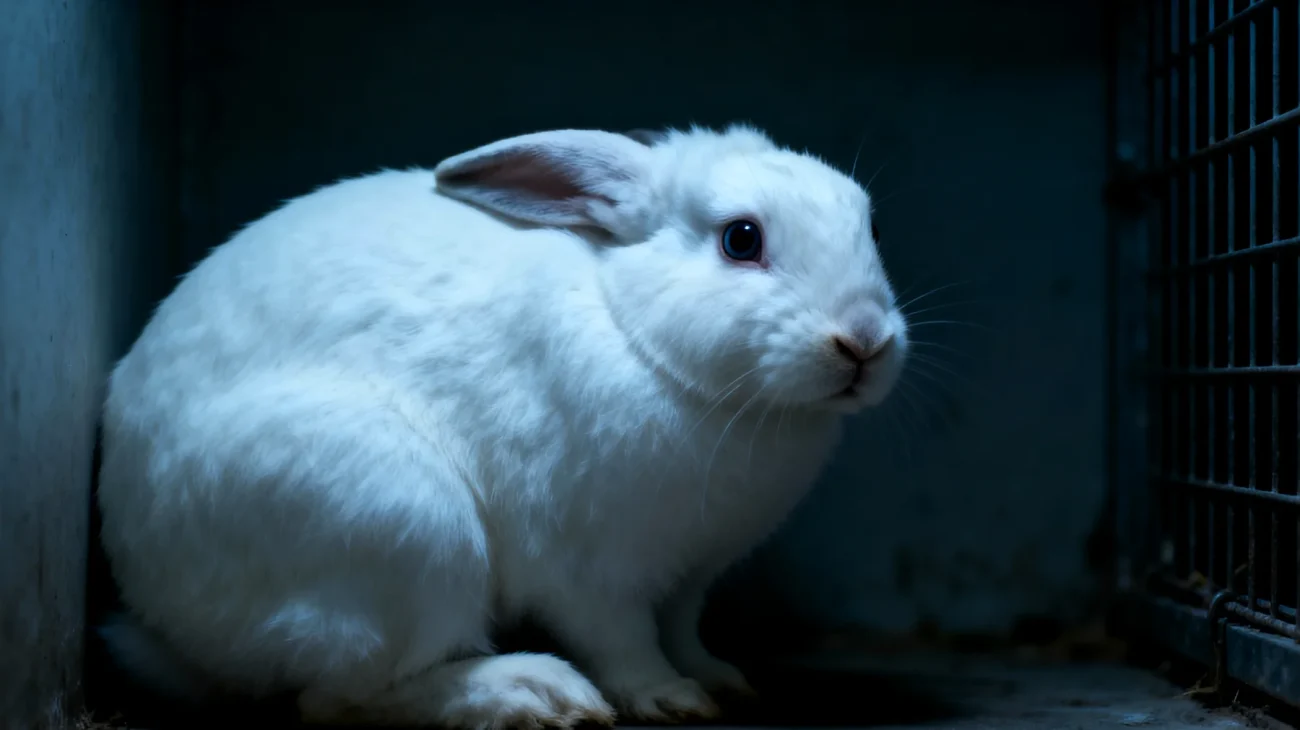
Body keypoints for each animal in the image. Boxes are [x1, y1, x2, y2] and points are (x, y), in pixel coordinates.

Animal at [95, 123, 909, 729]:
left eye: (871, 224)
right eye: (742, 239)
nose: (864, 343)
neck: (634, 330)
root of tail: (163, 618)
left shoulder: (692, 576)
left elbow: (684, 629)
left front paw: (721, 680)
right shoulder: (588, 569)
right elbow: (625, 643)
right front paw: (670, 698)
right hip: (405, 532)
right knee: (340, 698)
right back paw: (529, 692)